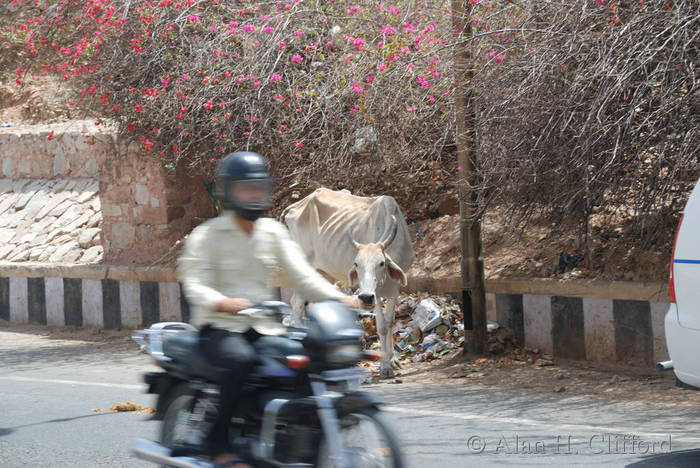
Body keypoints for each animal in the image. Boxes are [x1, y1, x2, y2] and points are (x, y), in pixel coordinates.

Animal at [280, 188, 412, 378]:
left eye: (381, 263)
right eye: (356, 263)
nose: (365, 297)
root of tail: (292, 207)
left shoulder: (394, 288)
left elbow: (390, 322)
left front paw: (393, 361)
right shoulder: (375, 293)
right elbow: (381, 326)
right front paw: (385, 366)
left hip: (322, 273)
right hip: (302, 269)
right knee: (297, 304)